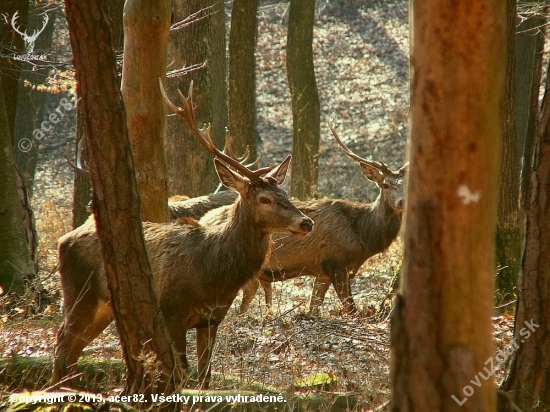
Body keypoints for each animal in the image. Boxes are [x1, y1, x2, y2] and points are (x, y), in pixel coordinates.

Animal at [55, 83, 314, 386]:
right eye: (264, 199)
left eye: (284, 193)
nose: (306, 222)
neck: (214, 275)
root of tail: (63, 239)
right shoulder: (172, 313)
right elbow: (181, 374)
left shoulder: (212, 319)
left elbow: (205, 377)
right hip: (79, 293)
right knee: (62, 341)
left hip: (104, 307)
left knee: (74, 348)